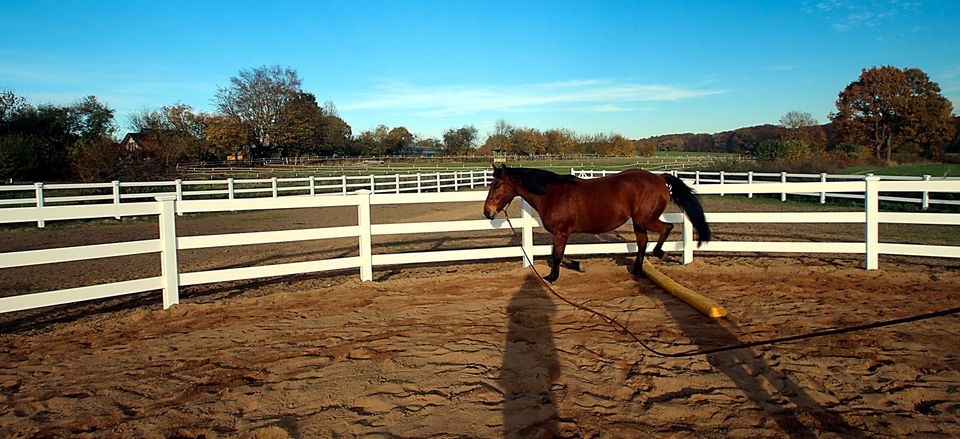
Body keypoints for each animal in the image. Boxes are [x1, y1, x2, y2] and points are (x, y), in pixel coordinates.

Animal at [484, 165, 708, 282]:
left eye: (497, 185)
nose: (487, 212)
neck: (552, 194)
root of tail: (659, 178)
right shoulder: (561, 233)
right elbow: (557, 254)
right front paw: (577, 265)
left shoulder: (561, 232)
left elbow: (556, 256)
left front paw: (551, 277)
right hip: (639, 223)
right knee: (642, 243)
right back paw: (636, 271)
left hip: (645, 219)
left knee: (666, 229)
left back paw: (663, 254)